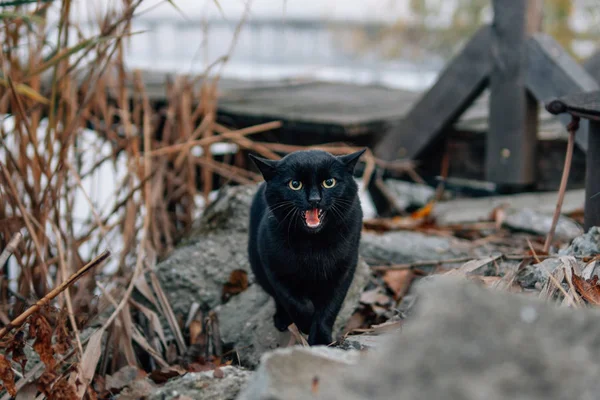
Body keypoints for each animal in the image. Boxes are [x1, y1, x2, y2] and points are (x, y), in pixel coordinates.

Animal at [245, 148, 366, 346]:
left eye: (329, 182)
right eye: (295, 184)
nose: (314, 199)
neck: (313, 244)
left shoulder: (344, 271)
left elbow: (329, 308)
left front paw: (321, 340)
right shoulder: (274, 268)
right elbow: (293, 301)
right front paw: (306, 324)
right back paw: (282, 320)